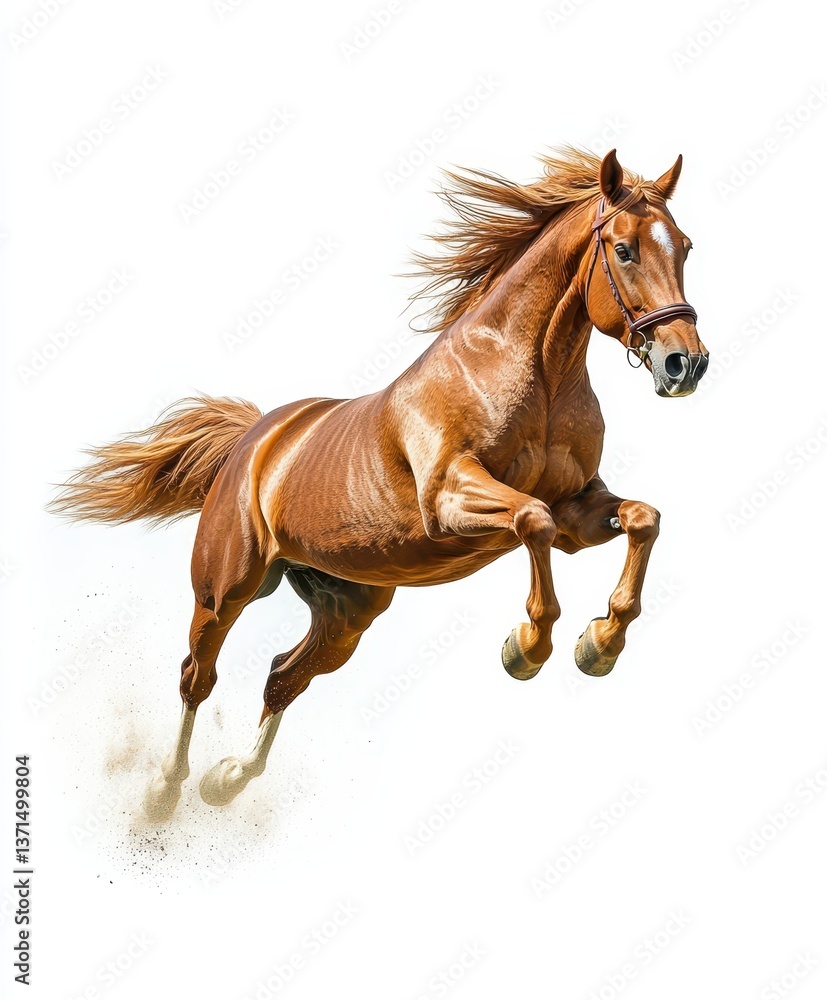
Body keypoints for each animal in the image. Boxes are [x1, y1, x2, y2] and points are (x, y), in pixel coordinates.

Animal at [51, 148, 708, 823]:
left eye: (684, 246)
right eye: (624, 249)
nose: (685, 365)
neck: (533, 375)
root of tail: (254, 440)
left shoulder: (580, 509)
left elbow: (642, 518)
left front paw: (599, 642)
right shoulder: (450, 500)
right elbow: (533, 522)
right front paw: (527, 646)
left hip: (349, 607)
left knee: (284, 675)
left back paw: (228, 778)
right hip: (226, 587)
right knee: (197, 674)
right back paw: (165, 790)